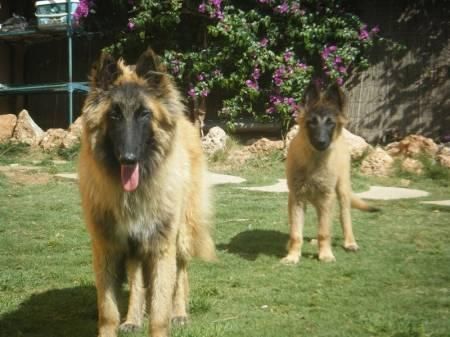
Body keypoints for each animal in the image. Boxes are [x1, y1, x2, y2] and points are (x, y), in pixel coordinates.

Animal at [78, 49, 215, 336]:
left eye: (144, 114)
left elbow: (160, 309)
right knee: (137, 282)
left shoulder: (162, 246)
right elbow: (108, 311)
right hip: (135, 249)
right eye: (115, 115)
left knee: (181, 274)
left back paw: (180, 313)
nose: (128, 159)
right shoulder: (107, 247)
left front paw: (167, 317)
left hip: (182, 235)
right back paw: (133, 318)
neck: (133, 194)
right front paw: (125, 320)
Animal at [284, 82, 378, 264]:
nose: (321, 142)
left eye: (330, 123)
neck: (314, 161)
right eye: (312, 122)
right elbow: (296, 233)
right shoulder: (296, 198)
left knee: (344, 215)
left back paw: (350, 242)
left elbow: (324, 231)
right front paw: (292, 256)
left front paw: (325, 254)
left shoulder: (327, 197)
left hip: (342, 189)